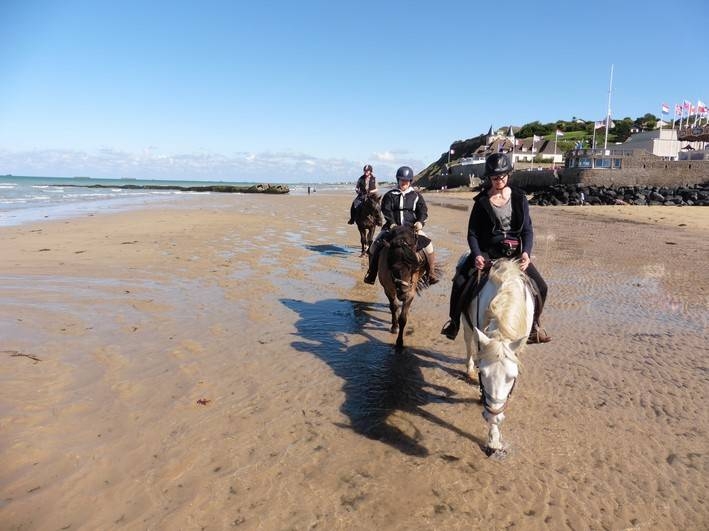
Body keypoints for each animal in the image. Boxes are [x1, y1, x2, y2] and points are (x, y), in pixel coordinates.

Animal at [460, 258, 532, 458]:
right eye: (482, 373)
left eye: (513, 377)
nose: (493, 414)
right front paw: (493, 441)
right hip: (466, 324)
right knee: (468, 342)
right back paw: (468, 370)